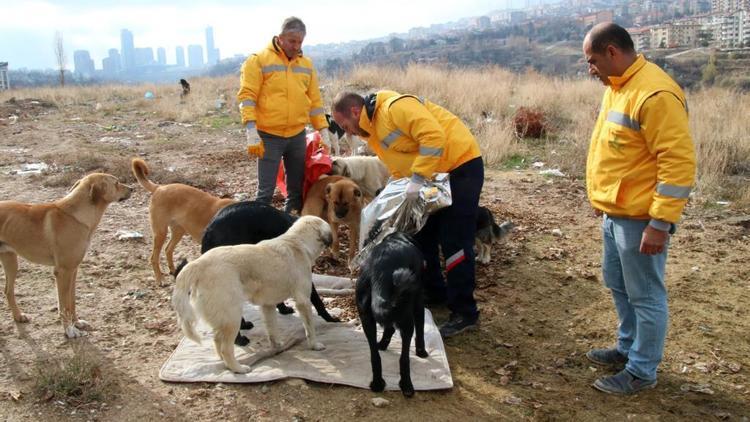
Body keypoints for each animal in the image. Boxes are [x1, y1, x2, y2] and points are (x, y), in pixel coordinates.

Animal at [0, 173, 132, 338]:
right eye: (116, 183)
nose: (132, 189)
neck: (76, 216)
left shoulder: (73, 270)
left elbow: (71, 302)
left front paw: (77, 323)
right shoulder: (63, 272)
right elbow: (63, 305)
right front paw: (69, 330)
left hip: (10, 261)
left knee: (8, 290)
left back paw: (18, 316)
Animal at [175, 214, 334, 372]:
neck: (297, 242)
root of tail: (199, 264)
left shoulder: (268, 305)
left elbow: (272, 329)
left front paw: (277, 346)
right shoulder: (303, 302)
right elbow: (310, 328)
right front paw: (315, 345)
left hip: (223, 318)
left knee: (217, 341)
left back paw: (225, 364)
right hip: (232, 317)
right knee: (226, 347)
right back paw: (238, 368)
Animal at [200, 201, 340, 346]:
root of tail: (209, 231)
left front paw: (283, 309)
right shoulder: (303, 278)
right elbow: (317, 300)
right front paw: (330, 319)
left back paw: (243, 325)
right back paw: (239, 339)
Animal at [354, 232, 426, 398]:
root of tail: (381, 269)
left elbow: (389, 328)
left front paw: (383, 343)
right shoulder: (419, 301)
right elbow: (420, 327)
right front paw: (421, 351)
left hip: (365, 316)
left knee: (374, 356)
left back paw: (377, 383)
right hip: (407, 318)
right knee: (404, 358)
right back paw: (407, 385)